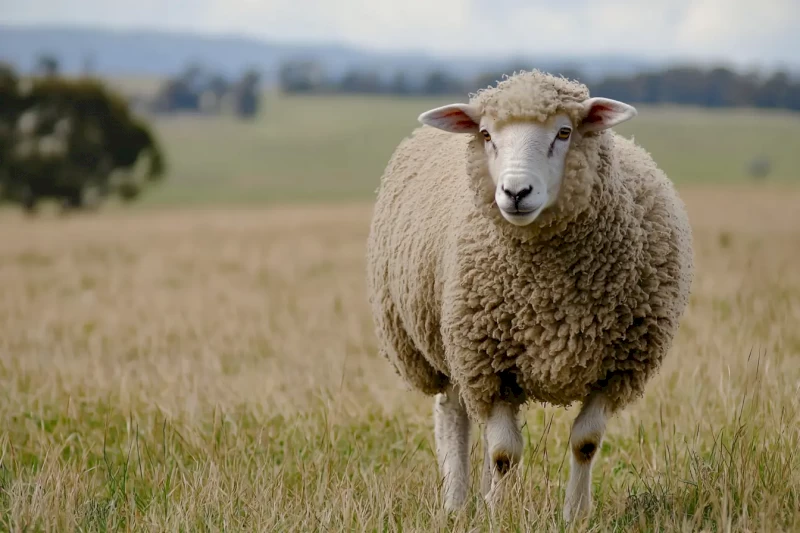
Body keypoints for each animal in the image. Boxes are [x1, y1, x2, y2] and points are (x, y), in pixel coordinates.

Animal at [365, 70, 694, 521]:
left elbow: (584, 443)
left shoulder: (615, 369)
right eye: (486, 134)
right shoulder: (485, 362)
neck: (549, 294)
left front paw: (575, 515)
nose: (516, 192)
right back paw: (456, 504)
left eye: (564, 131)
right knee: (453, 417)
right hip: (445, 347)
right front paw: (499, 516)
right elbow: (504, 453)